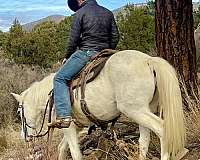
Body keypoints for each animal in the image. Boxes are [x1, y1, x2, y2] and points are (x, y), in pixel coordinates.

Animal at [11, 50, 185, 160]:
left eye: (19, 113)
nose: (23, 136)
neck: (51, 94)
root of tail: (148, 60)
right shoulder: (75, 127)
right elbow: (62, 148)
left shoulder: (67, 126)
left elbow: (75, 153)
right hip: (144, 111)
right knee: (144, 140)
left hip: (136, 111)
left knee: (162, 128)